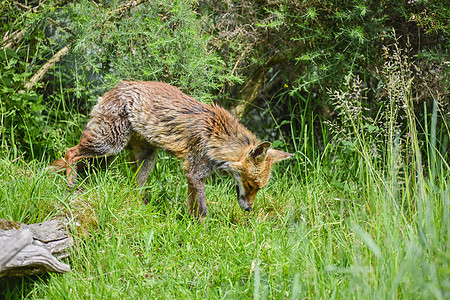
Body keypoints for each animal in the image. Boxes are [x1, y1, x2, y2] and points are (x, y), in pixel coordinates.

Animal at [52, 81, 294, 218]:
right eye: (251, 184)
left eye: (259, 188)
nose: (249, 210)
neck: (218, 137)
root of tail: (114, 88)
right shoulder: (195, 172)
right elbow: (202, 210)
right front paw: (203, 231)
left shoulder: (194, 177)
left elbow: (192, 205)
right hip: (109, 144)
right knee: (70, 152)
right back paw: (71, 186)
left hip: (146, 157)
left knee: (136, 187)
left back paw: (143, 208)